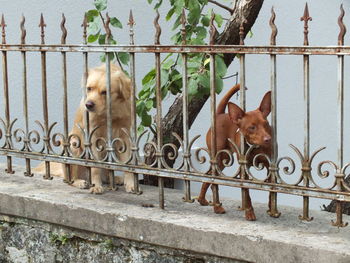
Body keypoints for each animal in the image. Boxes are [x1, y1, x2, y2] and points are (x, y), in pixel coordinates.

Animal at [34, 64, 135, 194]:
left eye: (105, 92)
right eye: (89, 88)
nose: (89, 105)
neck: (109, 113)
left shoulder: (124, 137)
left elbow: (127, 165)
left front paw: (131, 184)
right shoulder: (93, 139)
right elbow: (95, 168)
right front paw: (96, 186)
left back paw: (114, 179)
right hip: (73, 145)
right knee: (69, 179)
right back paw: (80, 182)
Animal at [198, 84, 272, 221]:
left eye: (266, 124)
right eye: (251, 127)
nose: (268, 139)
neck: (256, 148)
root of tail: (220, 114)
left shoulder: (270, 166)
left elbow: (272, 190)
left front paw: (272, 209)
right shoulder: (244, 171)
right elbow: (247, 193)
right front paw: (249, 212)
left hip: (222, 161)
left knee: (208, 178)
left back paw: (202, 199)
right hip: (218, 158)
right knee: (213, 182)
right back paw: (216, 207)